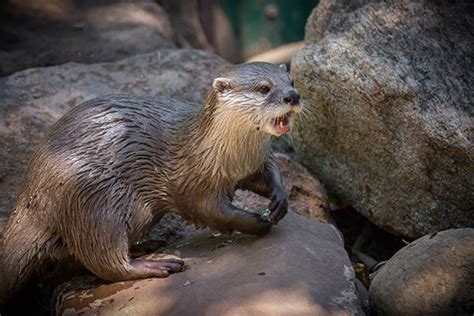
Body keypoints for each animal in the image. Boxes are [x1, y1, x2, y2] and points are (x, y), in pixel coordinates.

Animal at [0, 61, 300, 302]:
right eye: (263, 88)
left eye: (291, 81)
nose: (292, 96)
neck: (225, 154)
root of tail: (31, 195)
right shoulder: (193, 183)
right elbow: (211, 211)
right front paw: (256, 222)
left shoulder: (253, 164)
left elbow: (268, 175)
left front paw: (280, 200)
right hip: (95, 201)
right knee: (103, 259)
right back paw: (157, 265)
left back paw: (144, 247)